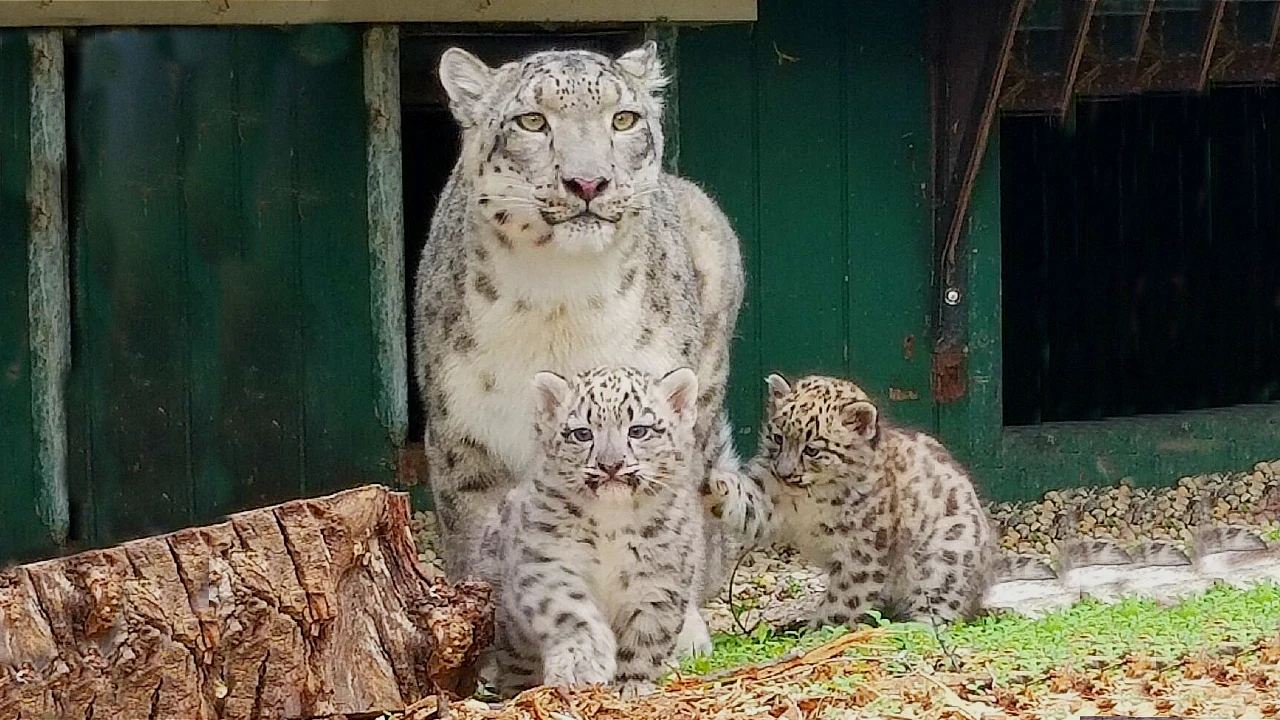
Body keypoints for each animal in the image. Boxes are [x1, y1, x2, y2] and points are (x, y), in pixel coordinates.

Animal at [414, 40, 747, 594]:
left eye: (624, 118)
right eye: (531, 120)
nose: (588, 182)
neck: (560, 302)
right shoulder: (465, 431)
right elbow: (475, 535)